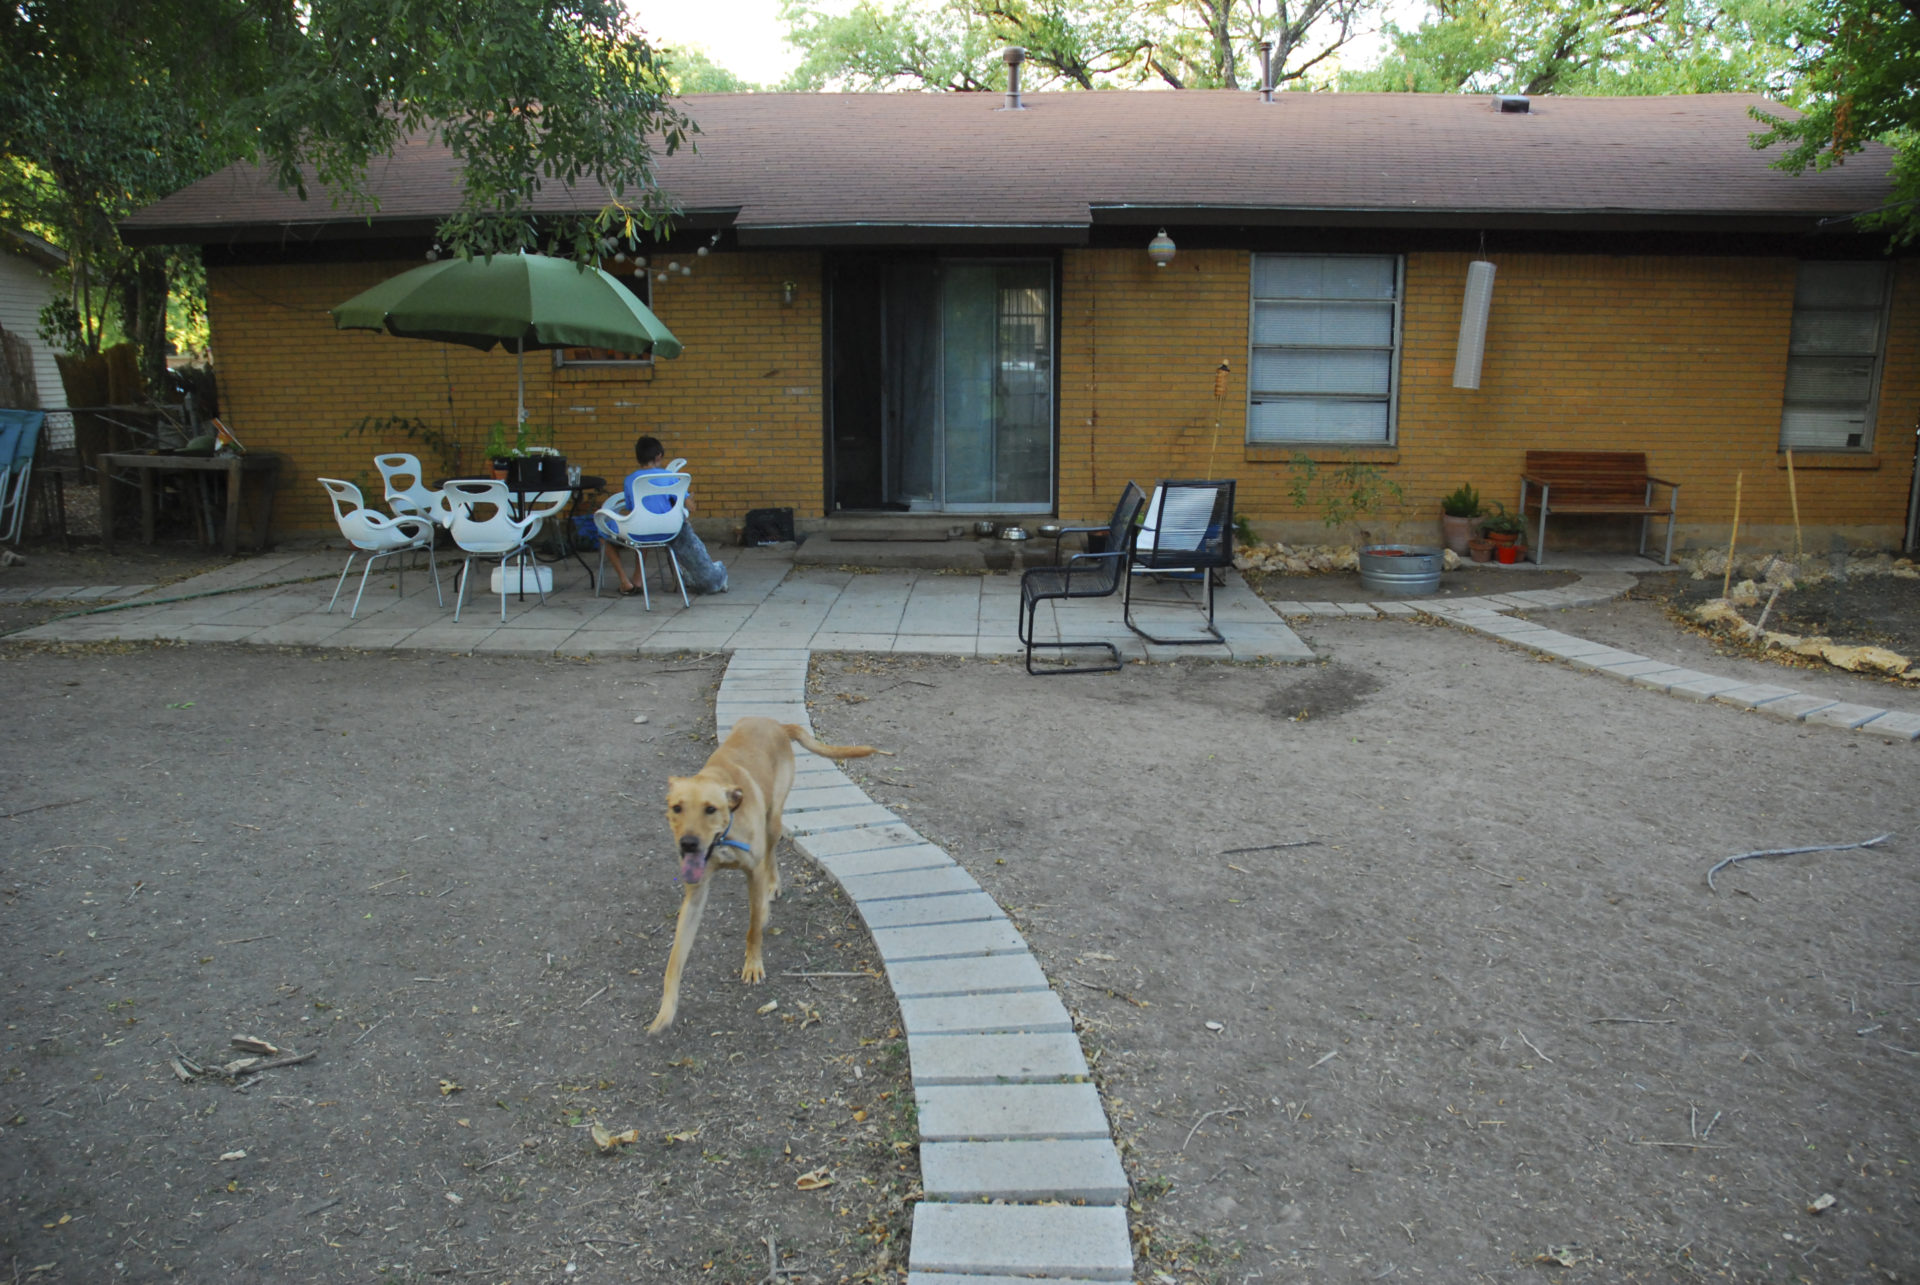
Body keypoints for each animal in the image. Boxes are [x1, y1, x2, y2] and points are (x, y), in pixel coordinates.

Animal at [648, 716, 874, 1034]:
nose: (688, 843)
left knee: (771, 857)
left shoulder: (752, 873)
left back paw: (771, 891)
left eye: (710, 809)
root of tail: (777, 723)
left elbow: (753, 927)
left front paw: (753, 964)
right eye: (677, 808)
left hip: (774, 821)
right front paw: (665, 1011)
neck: (724, 833)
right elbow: (675, 957)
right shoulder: (696, 894)